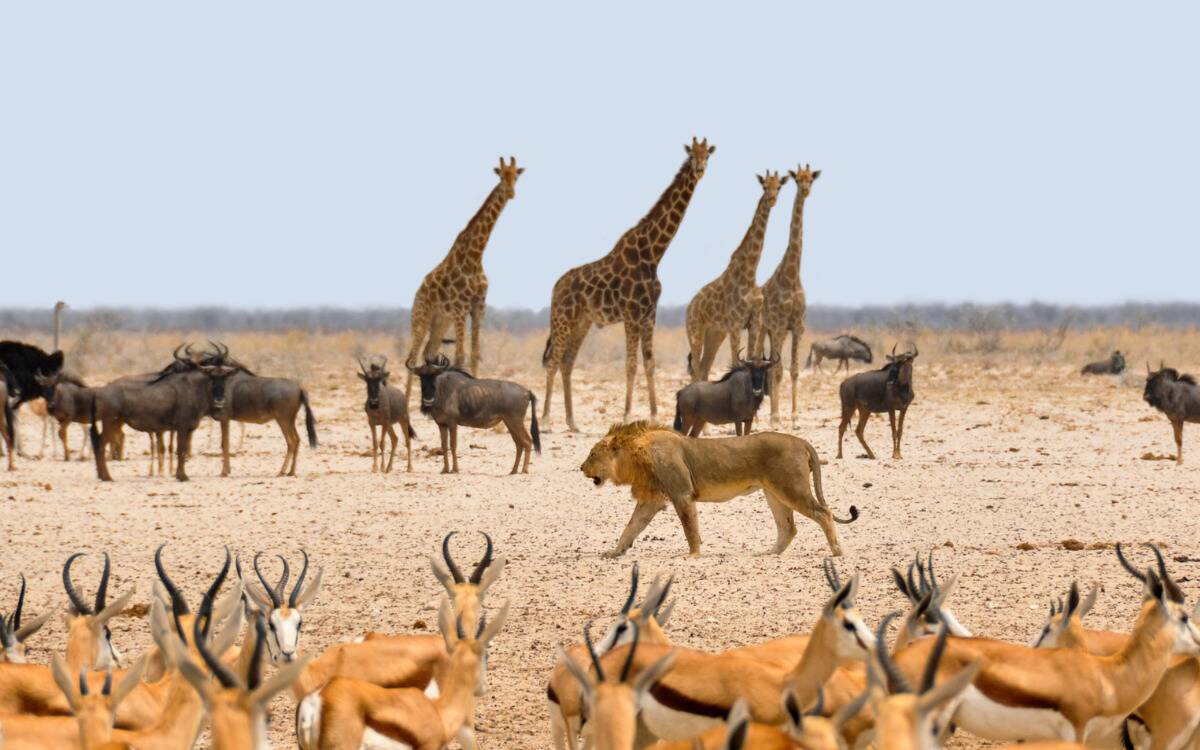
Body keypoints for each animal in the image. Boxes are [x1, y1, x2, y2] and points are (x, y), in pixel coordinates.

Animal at [405, 154, 523, 396]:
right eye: (501, 175)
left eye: (516, 176)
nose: (511, 193)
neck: (476, 257)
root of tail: (417, 294)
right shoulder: (460, 308)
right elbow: (460, 356)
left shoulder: (478, 306)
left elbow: (475, 354)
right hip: (421, 317)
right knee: (412, 357)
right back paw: (406, 402)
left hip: (440, 321)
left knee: (429, 353)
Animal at [542, 133, 710, 427]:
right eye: (691, 155)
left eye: (707, 155)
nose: (700, 170)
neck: (653, 254)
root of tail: (555, 288)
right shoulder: (632, 313)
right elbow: (631, 364)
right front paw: (628, 413)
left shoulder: (649, 313)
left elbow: (650, 363)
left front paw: (653, 413)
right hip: (563, 318)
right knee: (553, 360)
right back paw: (547, 418)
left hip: (582, 322)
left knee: (567, 361)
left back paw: (572, 421)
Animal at [578, 422, 854, 556]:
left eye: (592, 454)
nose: (580, 468)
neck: (636, 455)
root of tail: (802, 441)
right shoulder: (652, 499)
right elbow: (631, 527)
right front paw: (615, 552)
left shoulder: (682, 493)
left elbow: (690, 527)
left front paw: (693, 554)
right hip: (774, 493)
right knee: (788, 527)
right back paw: (769, 553)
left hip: (791, 488)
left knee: (824, 513)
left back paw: (837, 551)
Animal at [686, 169, 787, 379]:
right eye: (764, 185)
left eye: (779, 186)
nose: (772, 199)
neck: (750, 274)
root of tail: (689, 307)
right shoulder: (735, 324)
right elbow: (735, 362)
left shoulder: (753, 323)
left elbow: (751, 358)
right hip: (695, 330)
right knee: (696, 369)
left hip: (715, 333)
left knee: (704, 367)